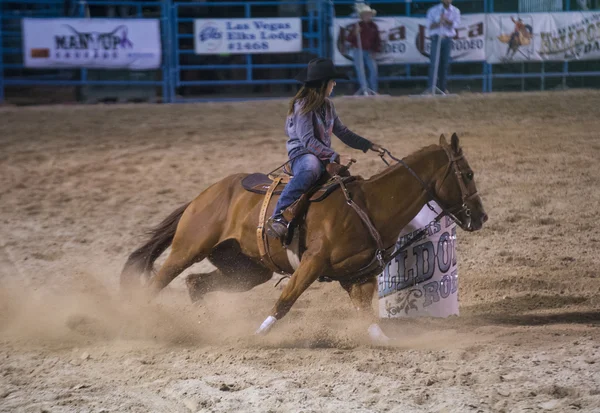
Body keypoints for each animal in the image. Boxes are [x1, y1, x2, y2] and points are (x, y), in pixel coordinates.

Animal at [120, 133, 488, 342]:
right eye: (468, 173)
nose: (481, 216)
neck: (369, 205)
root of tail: (202, 196)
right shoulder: (311, 262)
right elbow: (286, 301)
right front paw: (257, 335)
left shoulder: (359, 276)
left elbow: (366, 315)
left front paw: (384, 340)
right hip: (188, 249)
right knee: (159, 283)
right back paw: (138, 323)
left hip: (247, 270)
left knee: (196, 283)